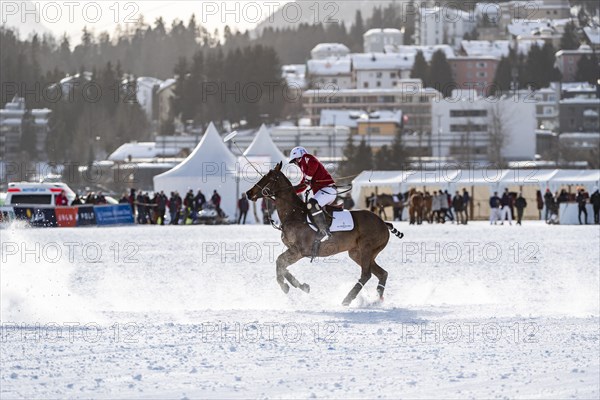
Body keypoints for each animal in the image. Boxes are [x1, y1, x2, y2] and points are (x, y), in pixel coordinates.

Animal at [248, 162, 404, 306]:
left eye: (267, 178)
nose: (248, 193)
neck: (294, 214)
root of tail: (383, 223)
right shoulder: (293, 249)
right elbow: (281, 265)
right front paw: (302, 286)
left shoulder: (299, 251)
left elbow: (280, 262)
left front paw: (285, 286)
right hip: (357, 252)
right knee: (382, 273)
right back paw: (376, 299)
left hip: (367, 248)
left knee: (366, 274)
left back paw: (347, 299)